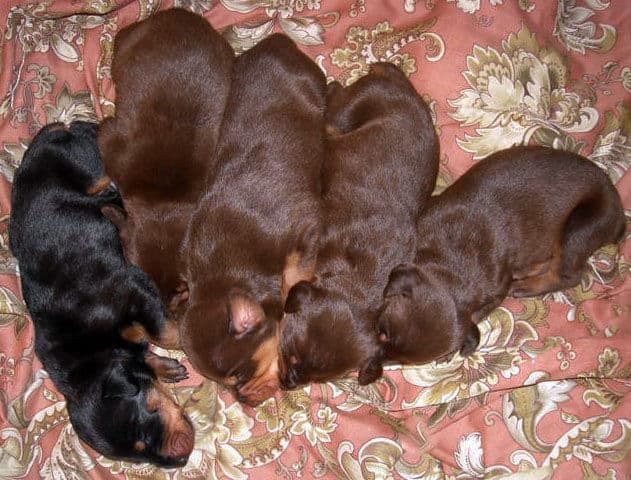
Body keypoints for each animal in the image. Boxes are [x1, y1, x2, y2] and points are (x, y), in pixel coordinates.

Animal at [9, 122, 193, 466]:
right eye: (139, 457)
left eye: (143, 422)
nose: (182, 459)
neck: (92, 355)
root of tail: (50, 131)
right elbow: (146, 352)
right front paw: (164, 367)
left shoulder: (132, 292)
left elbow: (165, 333)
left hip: (88, 163)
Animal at [100, 7, 233, 342]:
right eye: (147, 284)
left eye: (181, 289)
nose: (169, 316)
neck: (164, 200)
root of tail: (179, 12)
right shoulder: (107, 138)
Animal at [178, 32, 326, 404]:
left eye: (240, 375)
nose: (243, 400)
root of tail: (278, 39)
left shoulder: (306, 231)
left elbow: (294, 276)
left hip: (315, 88)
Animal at [276, 61, 440, 390]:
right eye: (292, 354)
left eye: (319, 380)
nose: (287, 385)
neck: (356, 277)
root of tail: (396, 79)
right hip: (350, 107)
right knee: (335, 94)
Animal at [376, 146, 628, 368]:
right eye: (383, 332)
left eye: (402, 361)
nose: (375, 365)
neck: (451, 261)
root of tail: (619, 218)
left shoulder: (496, 291)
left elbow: (476, 316)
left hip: (580, 227)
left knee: (568, 274)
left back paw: (527, 286)